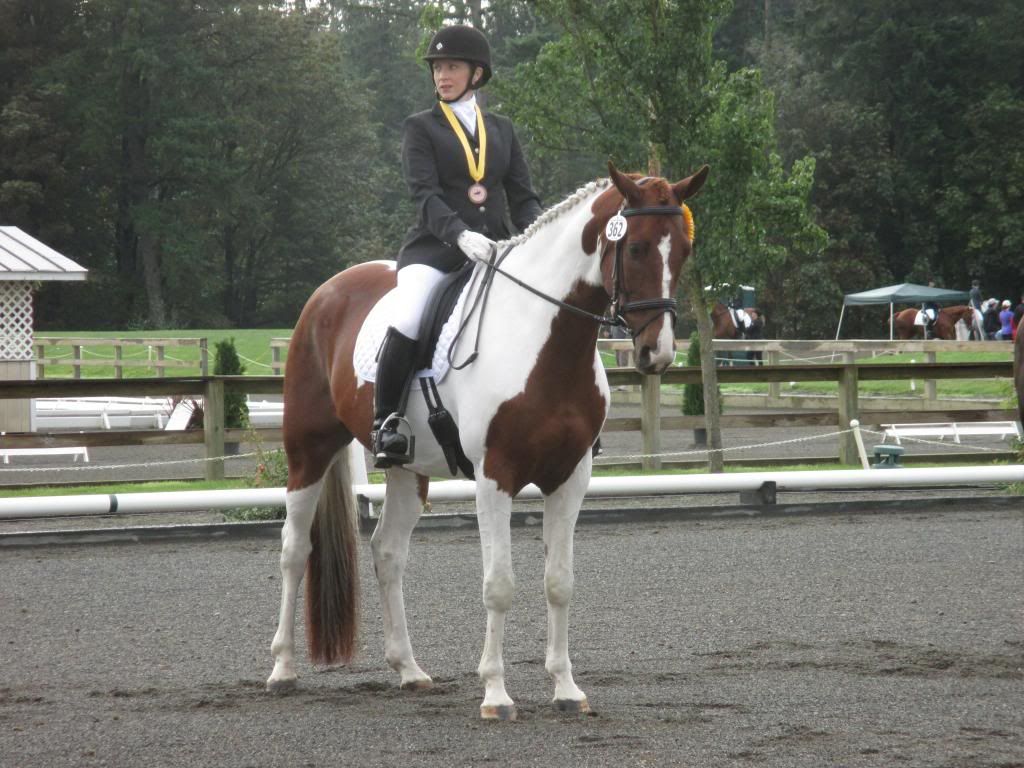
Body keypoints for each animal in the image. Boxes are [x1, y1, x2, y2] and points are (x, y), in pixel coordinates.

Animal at [266, 162, 709, 720]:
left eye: (685, 249)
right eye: (636, 248)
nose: (658, 353)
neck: (547, 342)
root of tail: (329, 290)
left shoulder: (571, 477)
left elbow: (559, 583)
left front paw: (566, 689)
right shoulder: (495, 475)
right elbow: (499, 586)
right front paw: (496, 695)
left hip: (408, 469)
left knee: (387, 551)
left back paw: (409, 671)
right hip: (309, 448)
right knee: (294, 549)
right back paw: (282, 669)